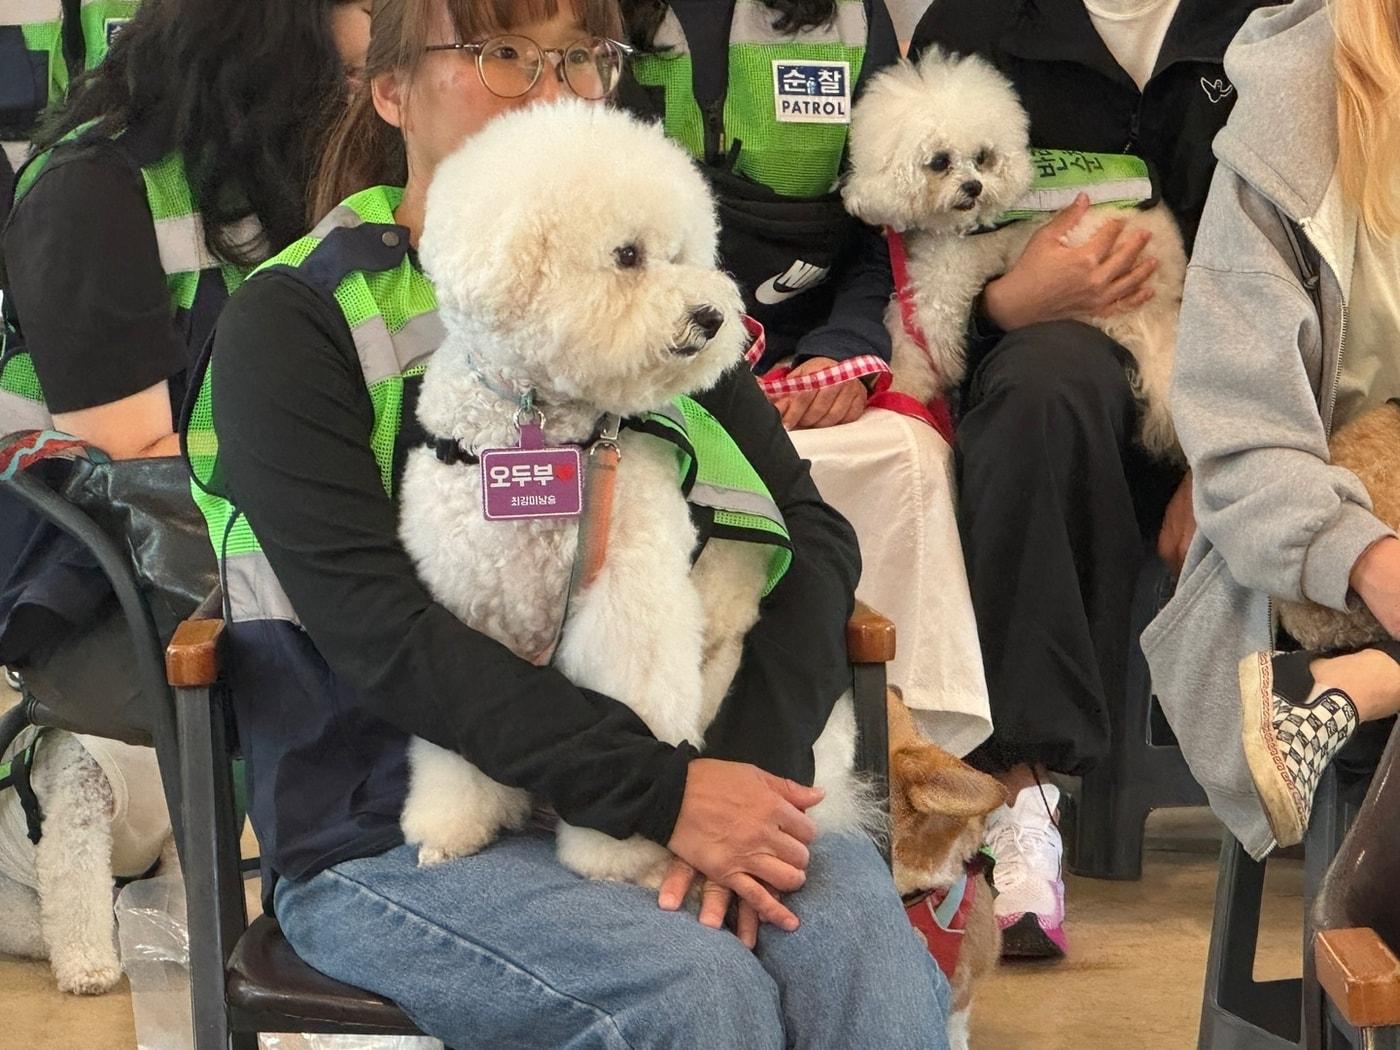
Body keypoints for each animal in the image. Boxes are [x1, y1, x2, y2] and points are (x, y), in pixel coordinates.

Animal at [394, 100, 868, 890]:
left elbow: (638, 707)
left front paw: (623, 854)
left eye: (683, 253)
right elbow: (460, 739)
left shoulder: (627, 600)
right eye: (626, 256)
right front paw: (453, 825)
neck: (541, 429)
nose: (712, 317)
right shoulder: (472, 614)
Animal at [834, 49, 1187, 459]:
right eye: (939, 161)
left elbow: (921, 334)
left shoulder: (947, 282)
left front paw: (903, 387)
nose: (974, 188)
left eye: (982, 157)